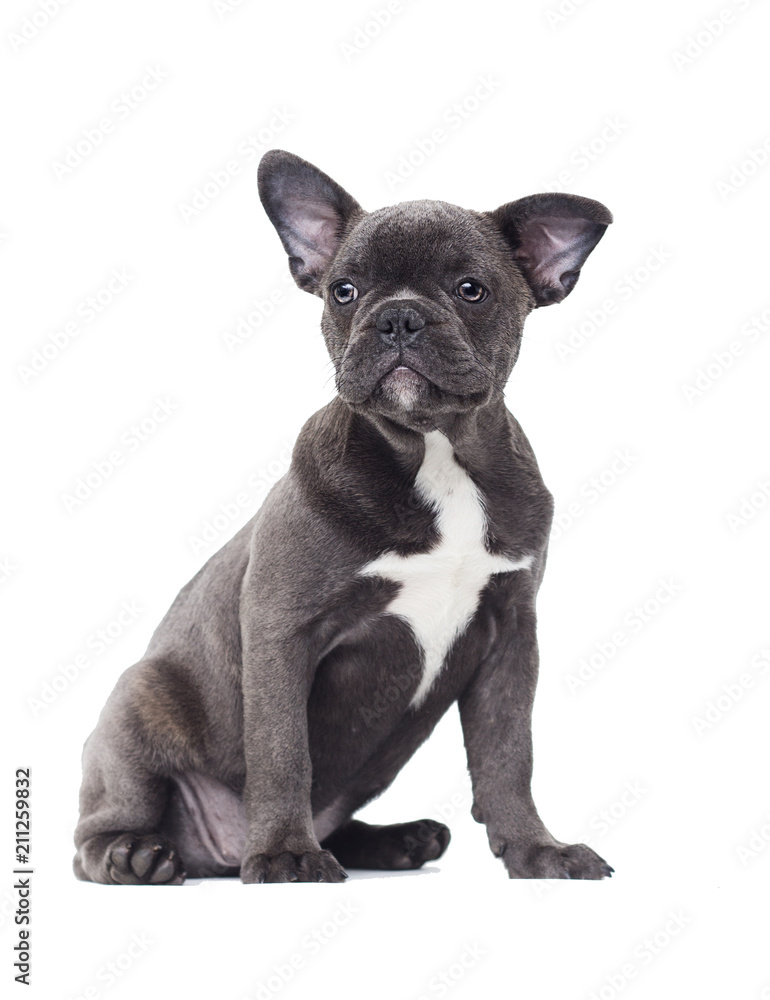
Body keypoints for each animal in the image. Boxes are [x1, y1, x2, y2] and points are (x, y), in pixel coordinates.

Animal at [72, 148, 612, 884]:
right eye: (344, 291)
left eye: (471, 289)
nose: (399, 317)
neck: (434, 451)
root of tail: (212, 855)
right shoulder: (283, 630)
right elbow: (282, 752)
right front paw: (283, 854)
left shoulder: (510, 635)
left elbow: (508, 755)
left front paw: (538, 850)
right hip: (137, 700)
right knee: (99, 826)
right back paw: (136, 853)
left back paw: (396, 840)